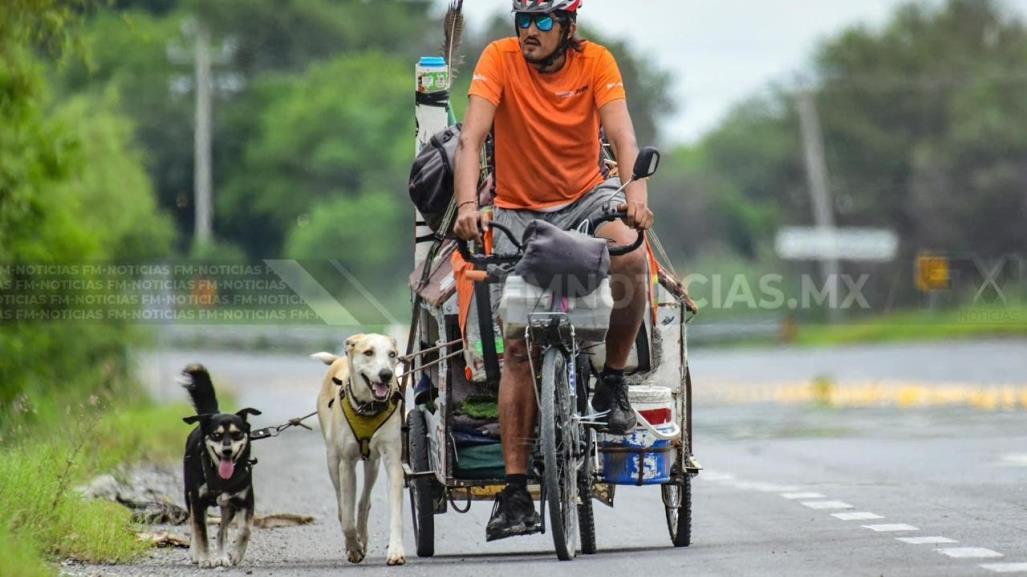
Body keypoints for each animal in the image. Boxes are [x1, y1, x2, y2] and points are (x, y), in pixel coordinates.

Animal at [180, 363, 262, 566]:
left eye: (237, 434)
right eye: (216, 435)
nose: (227, 451)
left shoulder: (244, 501)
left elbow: (245, 529)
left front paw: (236, 554)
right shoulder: (198, 501)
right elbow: (201, 532)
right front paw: (204, 558)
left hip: (227, 507)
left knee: (222, 530)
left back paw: (223, 556)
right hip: (189, 496)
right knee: (193, 525)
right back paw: (196, 554)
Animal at [310, 334, 406, 562]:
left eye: (392, 354)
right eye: (368, 352)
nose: (386, 374)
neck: (368, 407)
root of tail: (338, 359)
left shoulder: (392, 459)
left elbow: (395, 510)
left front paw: (396, 550)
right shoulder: (346, 464)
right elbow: (347, 516)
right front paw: (353, 548)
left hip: (373, 463)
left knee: (364, 503)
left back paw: (363, 534)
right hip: (332, 460)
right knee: (341, 504)